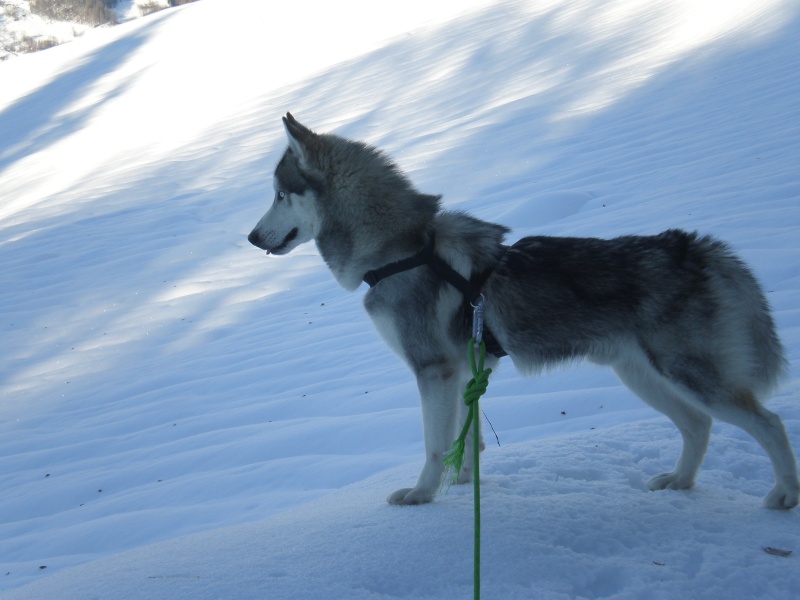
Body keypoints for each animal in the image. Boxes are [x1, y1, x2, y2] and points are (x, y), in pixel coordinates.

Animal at [247, 112, 796, 506]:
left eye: (279, 194)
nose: (251, 238)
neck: (403, 249)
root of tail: (697, 247)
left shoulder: (434, 371)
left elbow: (433, 444)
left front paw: (423, 495)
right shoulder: (467, 369)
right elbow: (467, 440)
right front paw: (463, 485)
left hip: (689, 375)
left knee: (769, 423)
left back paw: (784, 495)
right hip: (642, 376)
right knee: (698, 426)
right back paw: (680, 482)